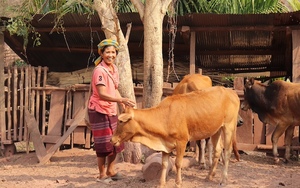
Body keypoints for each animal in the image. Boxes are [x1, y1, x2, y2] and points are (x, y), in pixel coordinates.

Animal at [111, 86, 240, 187]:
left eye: (121, 121)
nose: (112, 139)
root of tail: (231, 92)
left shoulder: (182, 142)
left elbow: (178, 163)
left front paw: (178, 183)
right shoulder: (165, 144)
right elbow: (164, 164)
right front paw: (161, 183)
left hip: (228, 126)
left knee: (227, 151)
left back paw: (223, 180)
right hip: (216, 130)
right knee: (218, 150)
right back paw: (209, 176)